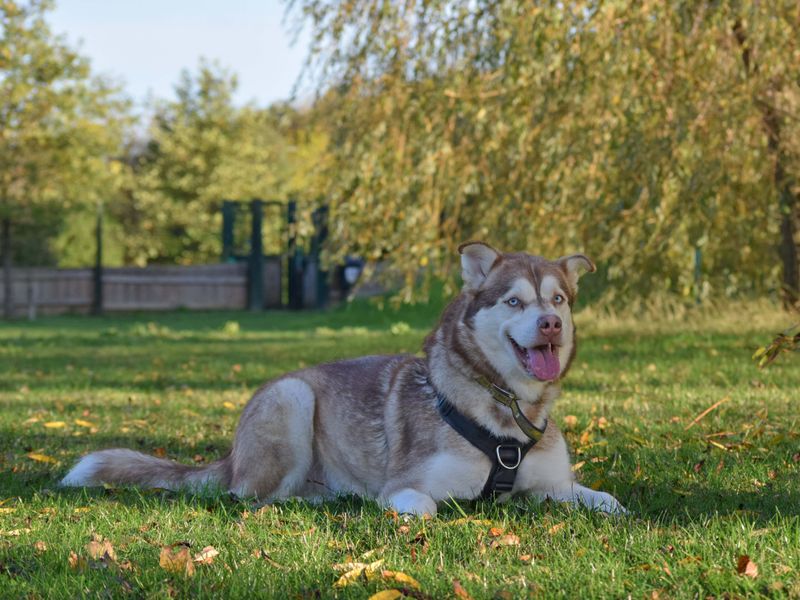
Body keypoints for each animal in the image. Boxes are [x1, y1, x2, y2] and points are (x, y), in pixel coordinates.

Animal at [61, 243, 624, 516]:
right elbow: (425, 507)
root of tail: (230, 456)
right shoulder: (405, 488)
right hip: (290, 399)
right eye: (514, 301)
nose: (550, 324)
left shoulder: (554, 486)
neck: (506, 410)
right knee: (247, 496)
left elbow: (607, 500)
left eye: (557, 300)